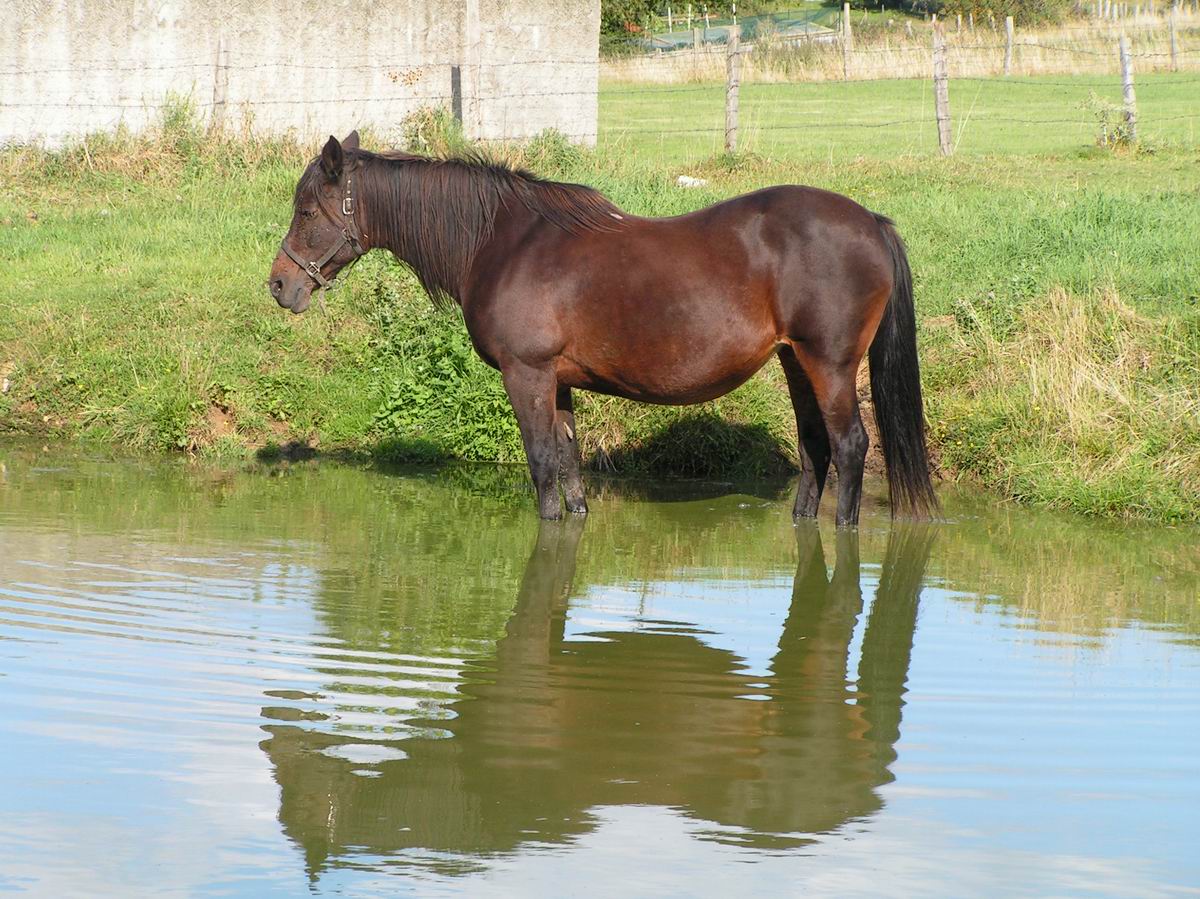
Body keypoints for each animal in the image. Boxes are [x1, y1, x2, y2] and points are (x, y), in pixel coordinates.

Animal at [270, 133, 936, 525]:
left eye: (306, 210)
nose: (280, 285)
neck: (503, 242)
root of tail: (870, 221)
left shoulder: (527, 375)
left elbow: (542, 464)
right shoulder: (559, 381)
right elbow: (570, 466)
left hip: (830, 364)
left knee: (849, 447)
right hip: (795, 361)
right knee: (813, 448)